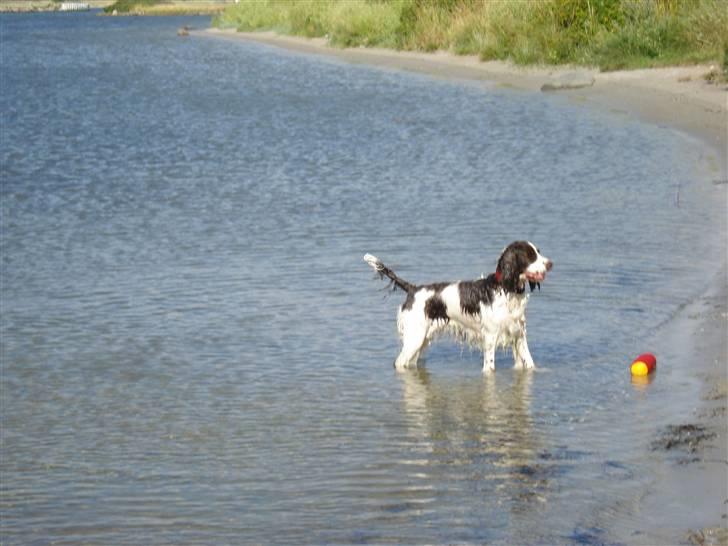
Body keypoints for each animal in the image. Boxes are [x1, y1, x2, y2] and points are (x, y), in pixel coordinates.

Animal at [364, 241, 552, 372]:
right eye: (530, 255)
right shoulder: (490, 338)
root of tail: (413, 289)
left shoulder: (519, 335)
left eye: (538, 252)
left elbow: (530, 364)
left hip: (421, 341)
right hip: (414, 339)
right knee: (399, 362)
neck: (506, 289)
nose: (550, 263)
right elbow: (489, 369)